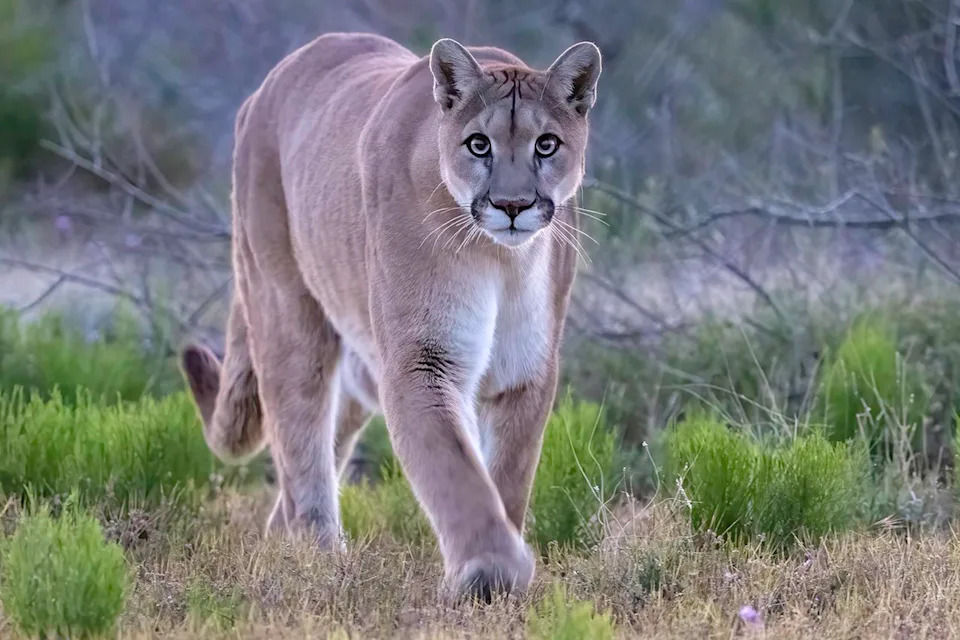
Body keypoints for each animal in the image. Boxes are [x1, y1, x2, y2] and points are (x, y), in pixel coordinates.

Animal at [180, 32, 601, 600]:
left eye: (547, 144)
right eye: (479, 145)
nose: (512, 205)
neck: (499, 258)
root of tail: (270, 82)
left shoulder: (525, 370)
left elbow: (508, 475)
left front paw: (500, 579)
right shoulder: (422, 361)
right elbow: (456, 472)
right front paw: (490, 572)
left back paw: (285, 541)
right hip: (286, 310)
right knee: (300, 440)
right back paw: (318, 558)